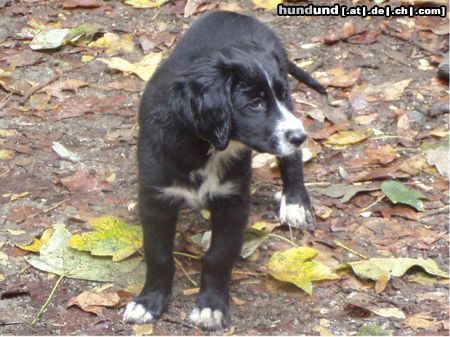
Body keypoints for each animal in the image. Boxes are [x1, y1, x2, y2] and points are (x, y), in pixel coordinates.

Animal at [125, 9, 326, 328]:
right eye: (254, 103)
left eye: (278, 95)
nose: (300, 136)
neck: (206, 148)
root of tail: (236, 13)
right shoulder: (156, 197)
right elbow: (158, 254)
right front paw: (148, 302)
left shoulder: (233, 200)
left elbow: (219, 256)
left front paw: (211, 307)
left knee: (291, 159)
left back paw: (295, 202)